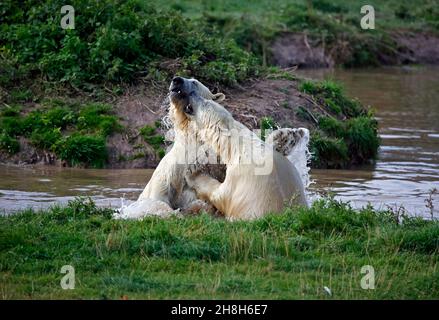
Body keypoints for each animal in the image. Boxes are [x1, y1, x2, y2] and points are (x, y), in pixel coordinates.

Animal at [170, 90, 308, 220]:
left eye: (205, 102)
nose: (192, 93)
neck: (242, 146)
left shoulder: (239, 175)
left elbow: (220, 194)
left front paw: (194, 171)